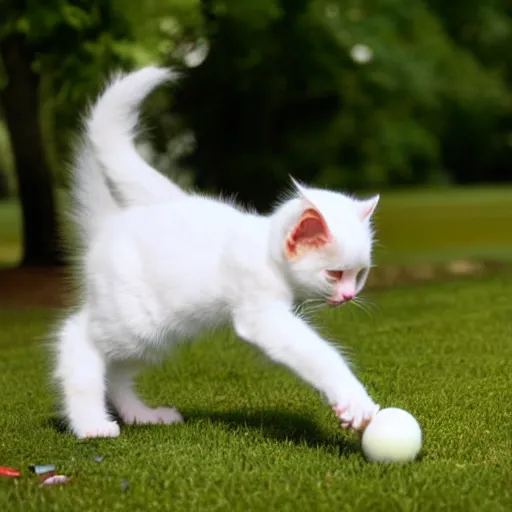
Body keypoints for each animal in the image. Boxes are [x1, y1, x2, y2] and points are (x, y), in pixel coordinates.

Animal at [53, 66, 380, 438]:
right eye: (334, 274)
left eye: (359, 275)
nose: (348, 296)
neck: (264, 248)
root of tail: (112, 220)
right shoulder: (262, 316)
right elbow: (320, 355)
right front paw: (355, 401)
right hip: (134, 320)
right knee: (77, 336)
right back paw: (90, 423)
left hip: (155, 333)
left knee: (118, 371)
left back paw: (141, 415)